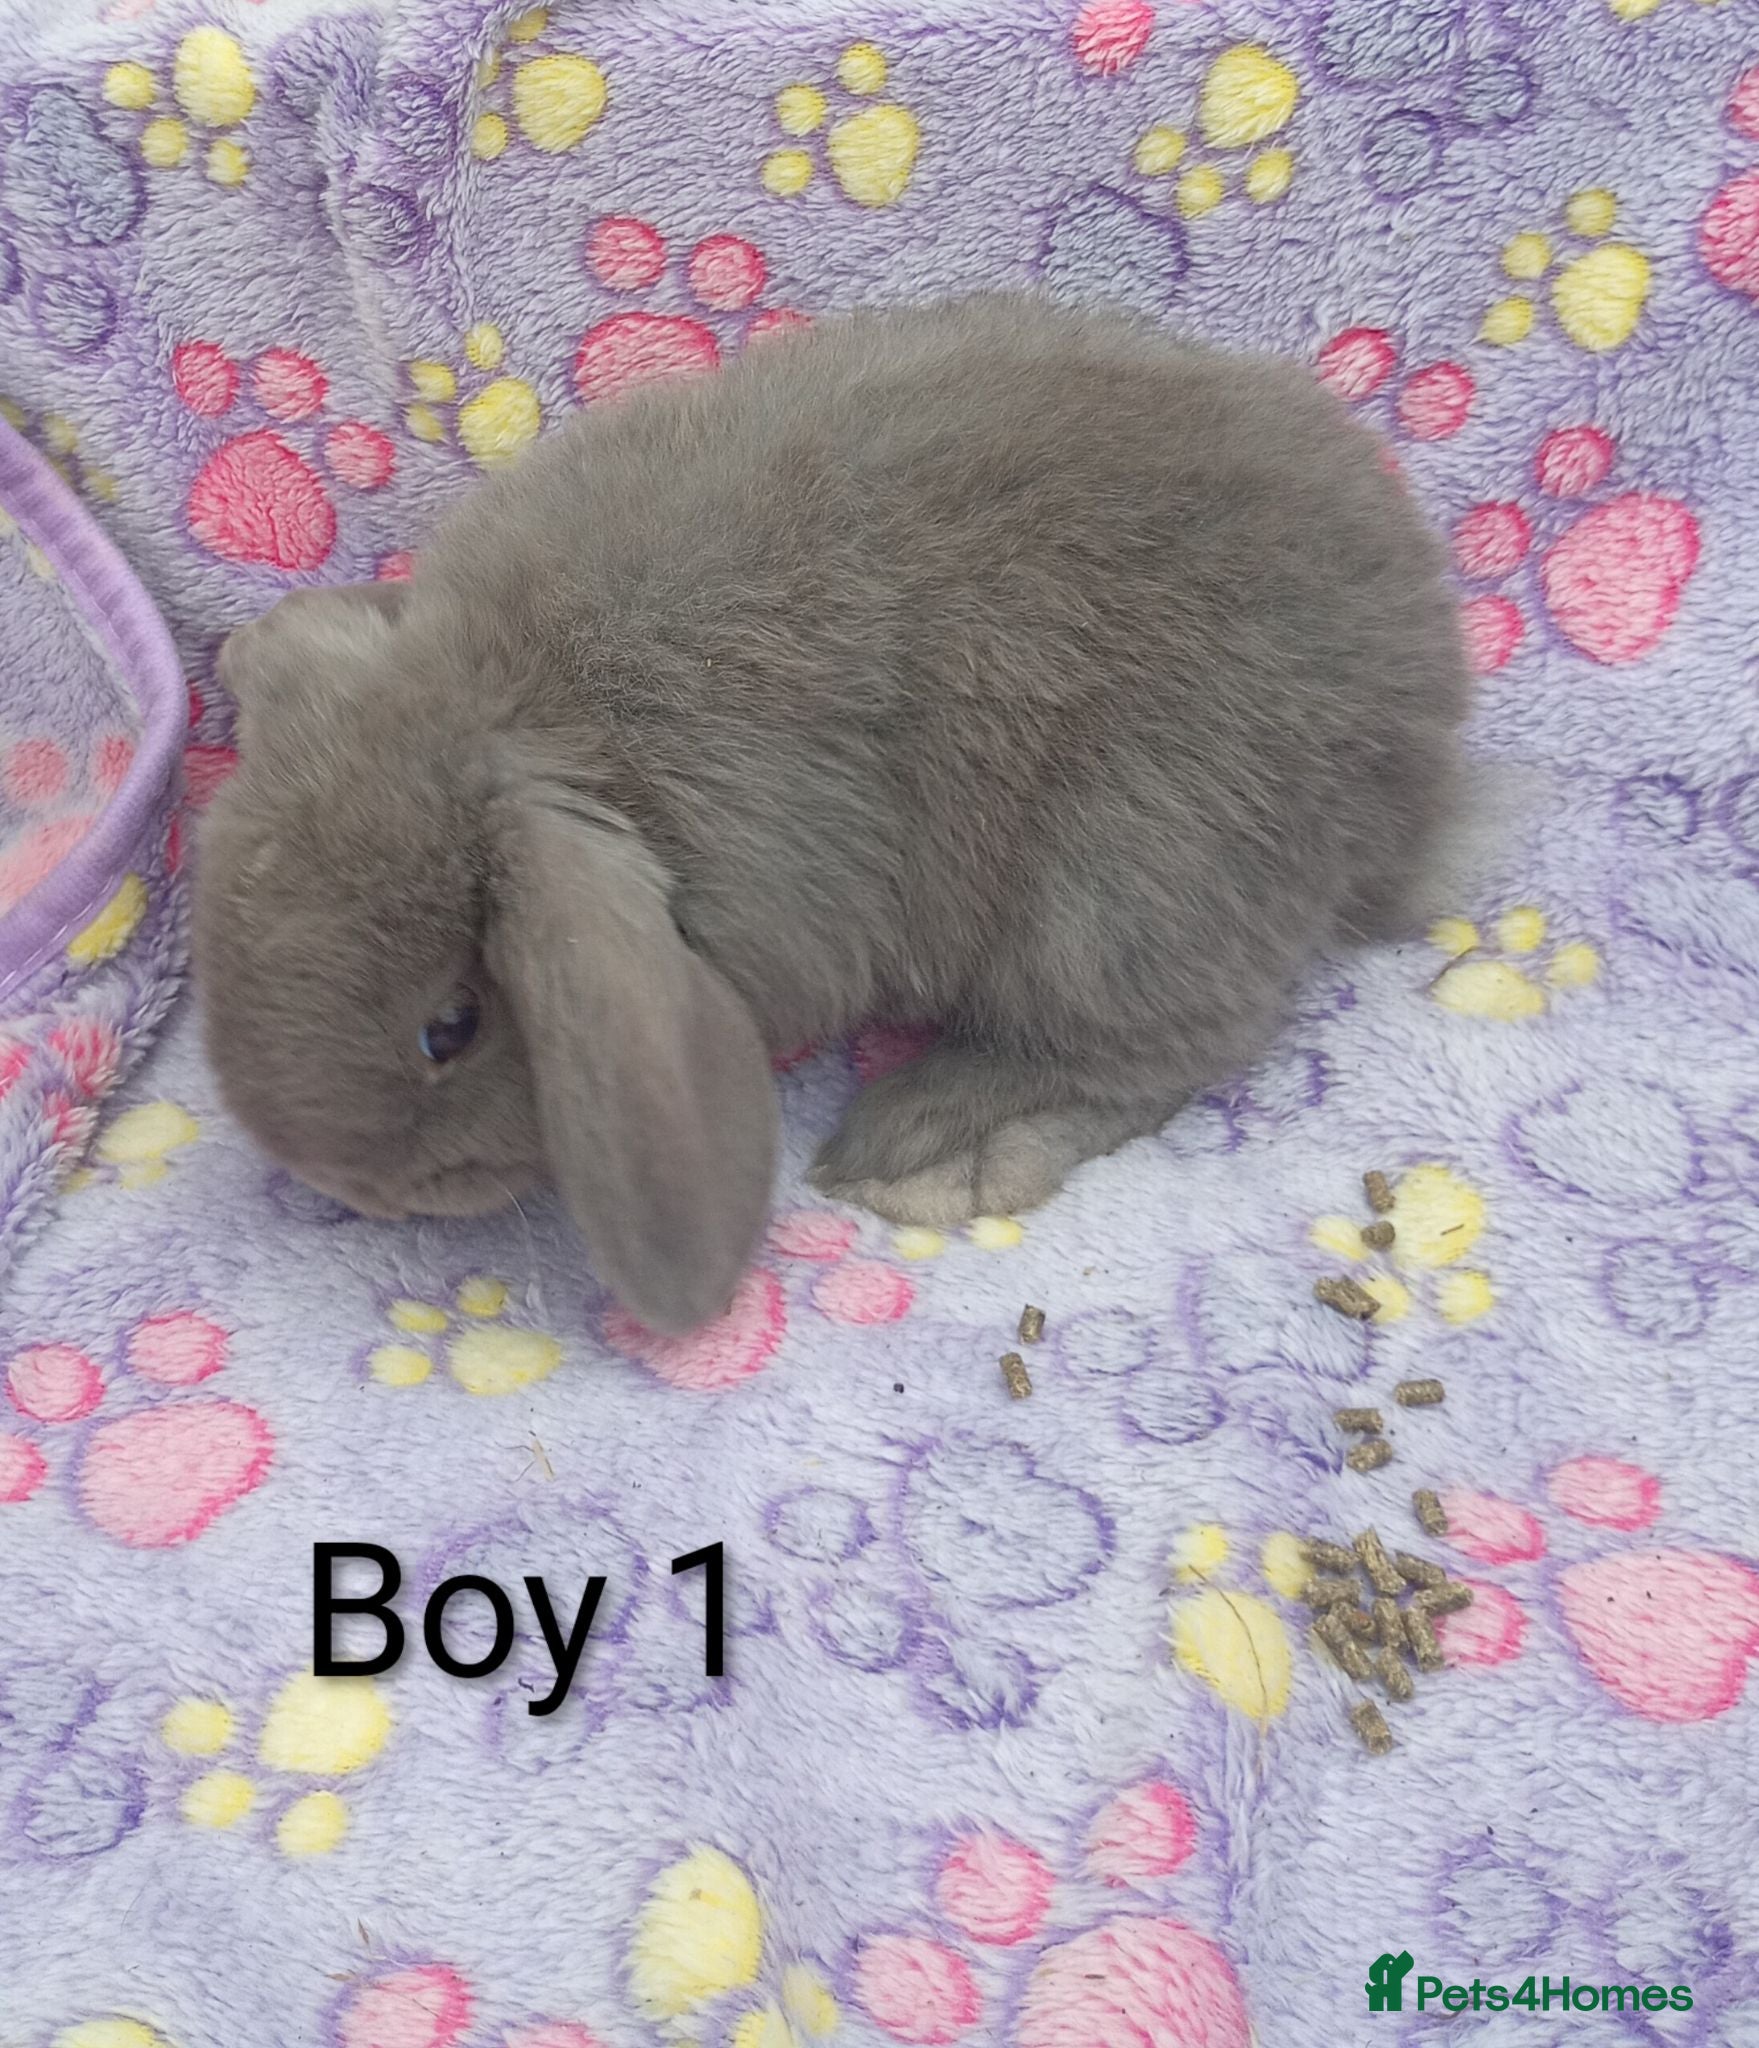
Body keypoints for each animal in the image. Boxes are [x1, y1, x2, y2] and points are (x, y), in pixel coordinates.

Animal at [192, 291, 1471, 1337]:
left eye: (448, 1026)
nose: (351, 1187)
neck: (515, 702)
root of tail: (1418, 753)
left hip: (1128, 874)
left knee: (1167, 1038)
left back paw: (928, 1149)